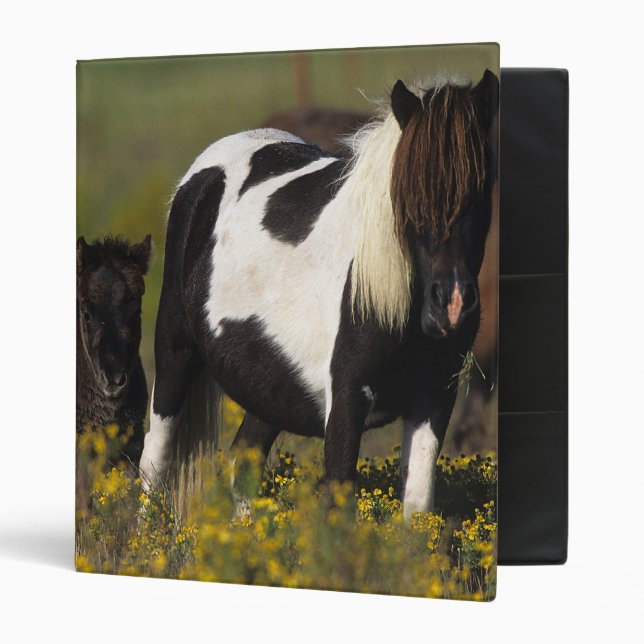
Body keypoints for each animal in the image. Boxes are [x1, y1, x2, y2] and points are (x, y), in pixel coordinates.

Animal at [139, 70, 498, 521]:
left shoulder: (434, 397)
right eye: (407, 195)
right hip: (175, 353)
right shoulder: (346, 401)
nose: (451, 307)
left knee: (242, 461)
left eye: (482, 189)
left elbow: (417, 508)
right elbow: (339, 499)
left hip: (270, 387)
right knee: (154, 463)